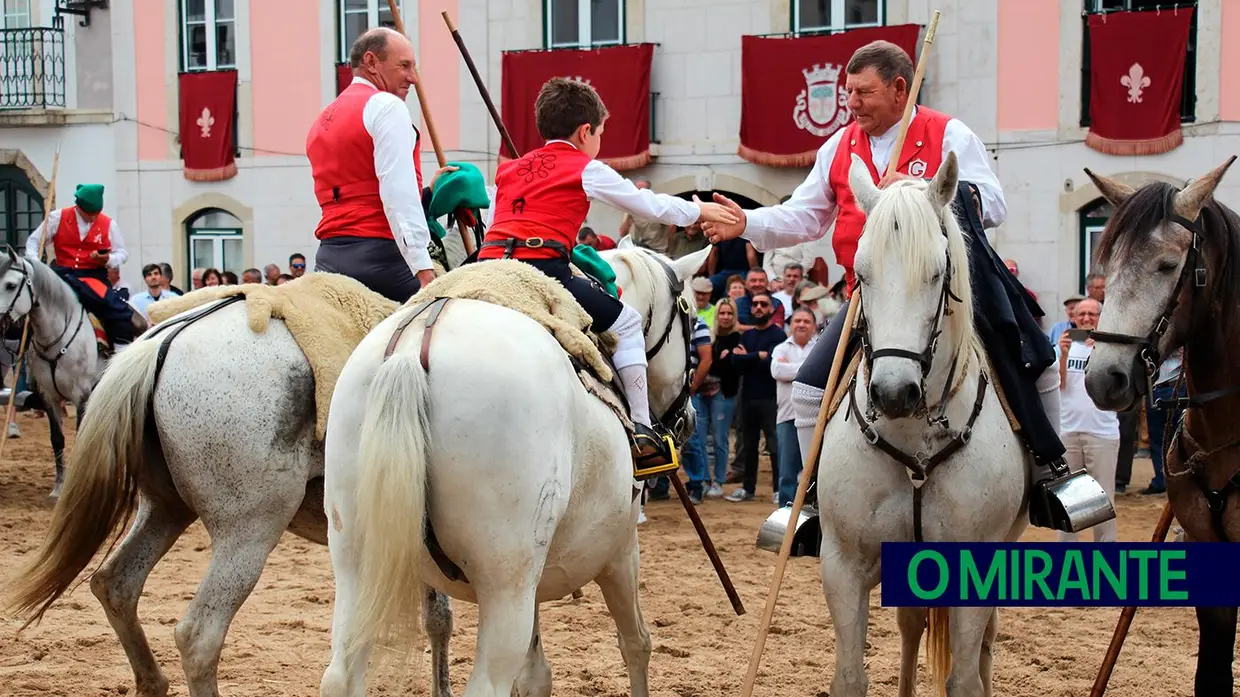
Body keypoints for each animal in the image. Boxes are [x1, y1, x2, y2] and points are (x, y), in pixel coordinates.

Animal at [314, 243, 714, 694]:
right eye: (692, 318)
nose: (689, 419)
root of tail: (413, 348)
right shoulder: (620, 550)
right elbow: (636, 642)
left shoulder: (536, 581)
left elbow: (535, 674)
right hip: (506, 588)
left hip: (357, 568)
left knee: (341, 675)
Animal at [813, 153, 1026, 694]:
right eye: (861, 274)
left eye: (936, 272)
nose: (893, 393)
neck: (912, 438)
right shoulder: (843, 566)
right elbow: (850, 677)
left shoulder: (977, 570)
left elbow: (965, 680)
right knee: (912, 624)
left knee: (987, 638)